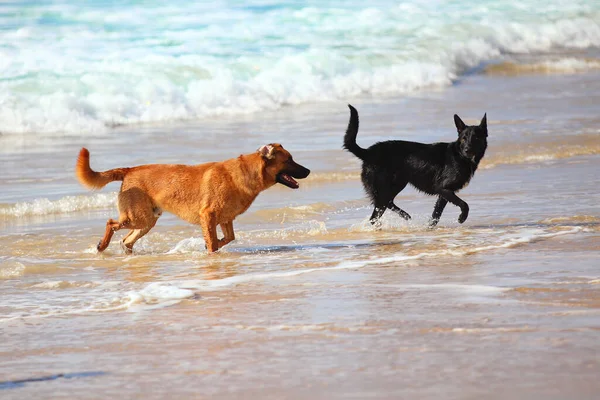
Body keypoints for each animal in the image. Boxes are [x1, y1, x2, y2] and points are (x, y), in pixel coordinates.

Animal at [75, 145, 310, 255]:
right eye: (289, 160)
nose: (308, 171)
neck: (244, 173)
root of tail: (129, 170)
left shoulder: (225, 219)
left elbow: (228, 238)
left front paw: (210, 246)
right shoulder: (209, 215)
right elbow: (215, 242)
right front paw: (210, 249)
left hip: (147, 220)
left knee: (127, 240)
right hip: (138, 217)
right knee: (111, 223)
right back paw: (102, 246)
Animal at [342, 104, 488, 227]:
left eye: (476, 138)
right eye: (464, 138)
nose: (467, 150)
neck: (459, 155)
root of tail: (369, 152)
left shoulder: (444, 194)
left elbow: (436, 214)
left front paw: (429, 228)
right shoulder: (443, 188)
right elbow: (464, 204)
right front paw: (462, 218)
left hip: (397, 184)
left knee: (387, 204)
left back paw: (405, 216)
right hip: (387, 188)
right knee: (376, 214)